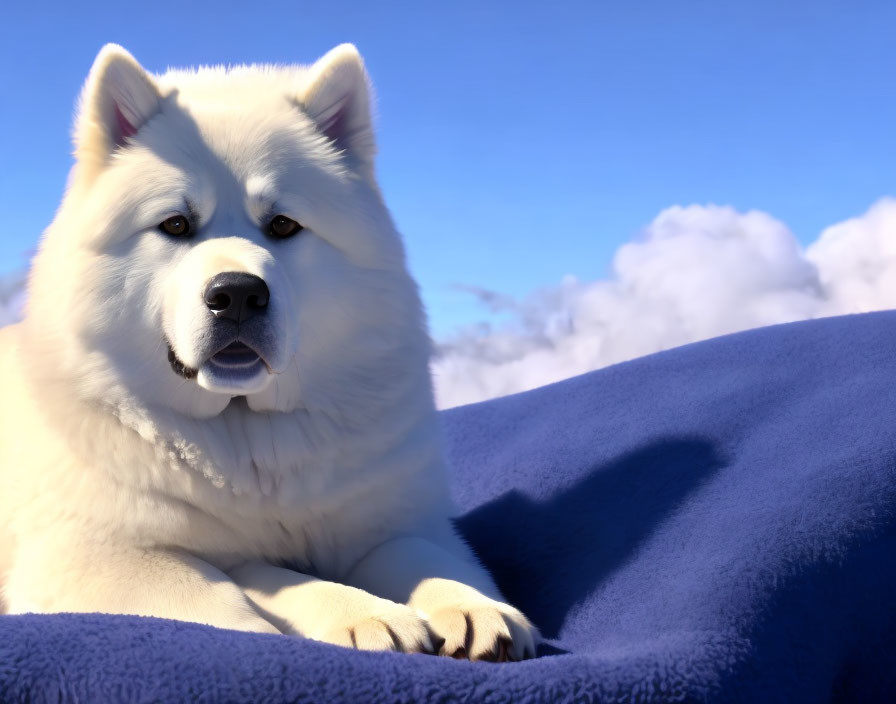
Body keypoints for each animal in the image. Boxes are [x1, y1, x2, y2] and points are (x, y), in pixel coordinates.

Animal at [0, 42, 536, 660]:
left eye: (282, 224)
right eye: (175, 224)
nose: (236, 294)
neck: (245, 436)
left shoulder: (398, 521)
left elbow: (420, 556)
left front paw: (468, 605)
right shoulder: (85, 556)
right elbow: (226, 586)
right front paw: (355, 616)